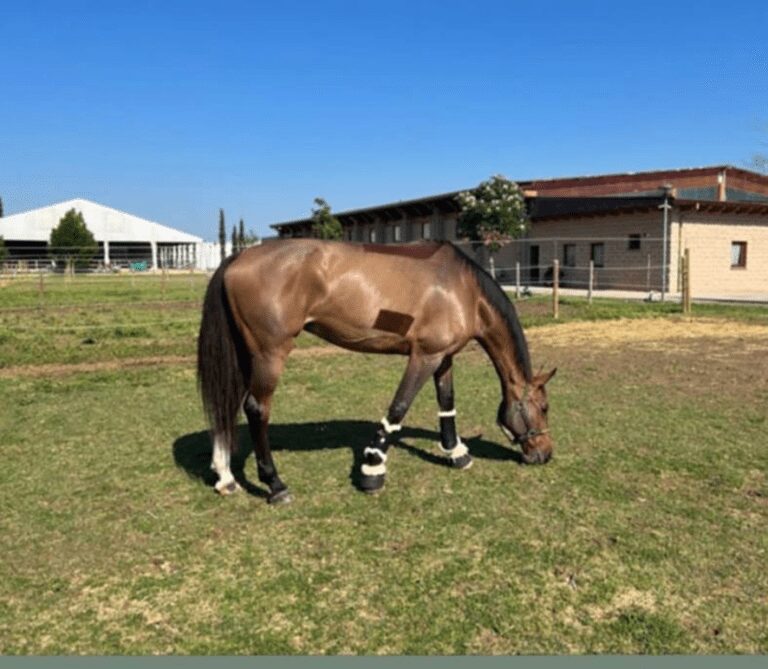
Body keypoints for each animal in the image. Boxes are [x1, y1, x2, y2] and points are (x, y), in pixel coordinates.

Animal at [197, 238, 556, 504]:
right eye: (543, 407)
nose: (545, 454)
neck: (463, 288)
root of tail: (238, 257)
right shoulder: (424, 356)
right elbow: (398, 408)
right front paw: (373, 469)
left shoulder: (443, 357)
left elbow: (447, 404)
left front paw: (456, 453)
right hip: (269, 354)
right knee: (257, 409)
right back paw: (275, 484)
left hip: (246, 355)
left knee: (228, 404)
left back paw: (226, 477)